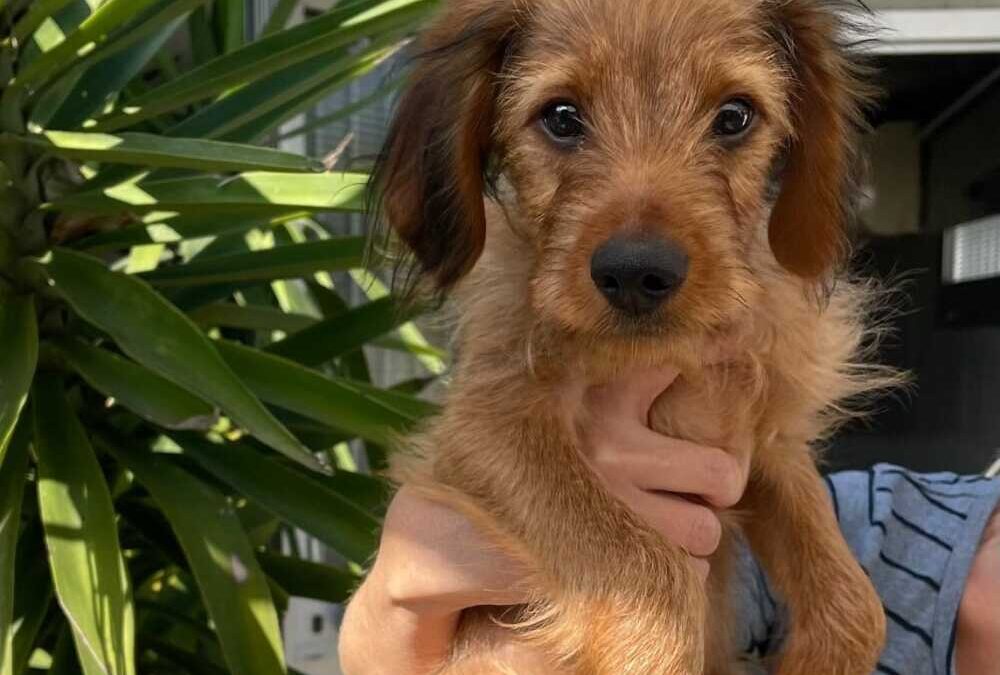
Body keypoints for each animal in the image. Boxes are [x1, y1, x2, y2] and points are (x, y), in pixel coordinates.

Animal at [372, 2, 896, 672]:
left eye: (735, 116)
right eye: (561, 117)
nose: (635, 274)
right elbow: (642, 578)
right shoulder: (484, 424)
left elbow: (853, 599)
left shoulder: (763, 441)